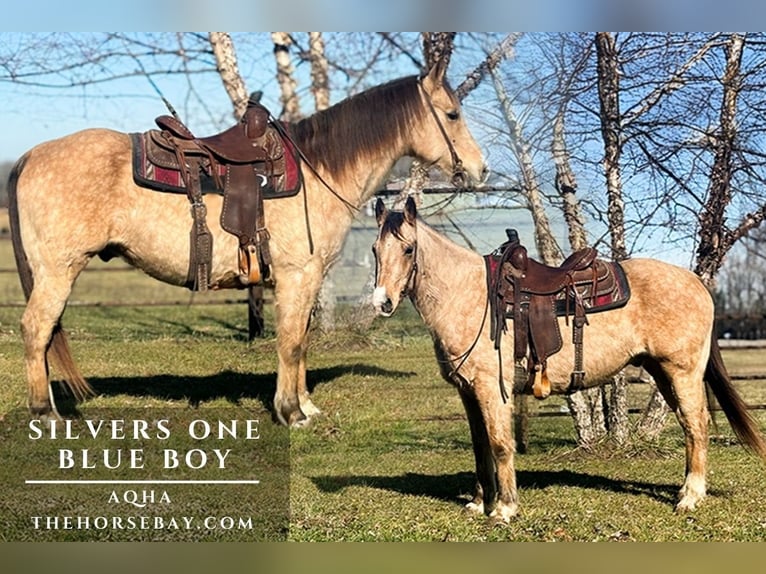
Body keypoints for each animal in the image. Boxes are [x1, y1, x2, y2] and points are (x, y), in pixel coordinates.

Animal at [6, 61, 487, 427]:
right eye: (452, 115)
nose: (480, 169)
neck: (320, 170)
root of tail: (31, 156)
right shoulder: (297, 277)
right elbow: (290, 343)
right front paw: (291, 412)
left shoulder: (305, 282)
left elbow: (301, 341)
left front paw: (305, 404)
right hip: (58, 271)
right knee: (35, 329)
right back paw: (44, 413)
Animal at [371, 197, 766, 522]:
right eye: (375, 250)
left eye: (408, 249)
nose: (382, 302)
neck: (470, 296)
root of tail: (698, 283)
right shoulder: (468, 392)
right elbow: (480, 446)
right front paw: (479, 503)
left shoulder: (493, 390)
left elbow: (500, 445)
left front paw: (504, 508)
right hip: (663, 373)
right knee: (689, 425)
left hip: (682, 373)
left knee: (696, 426)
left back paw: (690, 497)